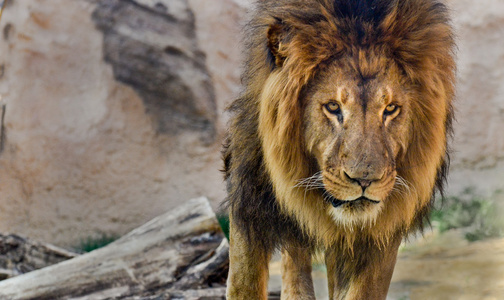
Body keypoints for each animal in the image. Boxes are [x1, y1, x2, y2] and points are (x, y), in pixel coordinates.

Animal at [222, 1, 454, 298]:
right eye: (333, 107)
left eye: (391, 109)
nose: (365, 180)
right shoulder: (249, 196)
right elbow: (244, 282)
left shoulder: (380, 230)